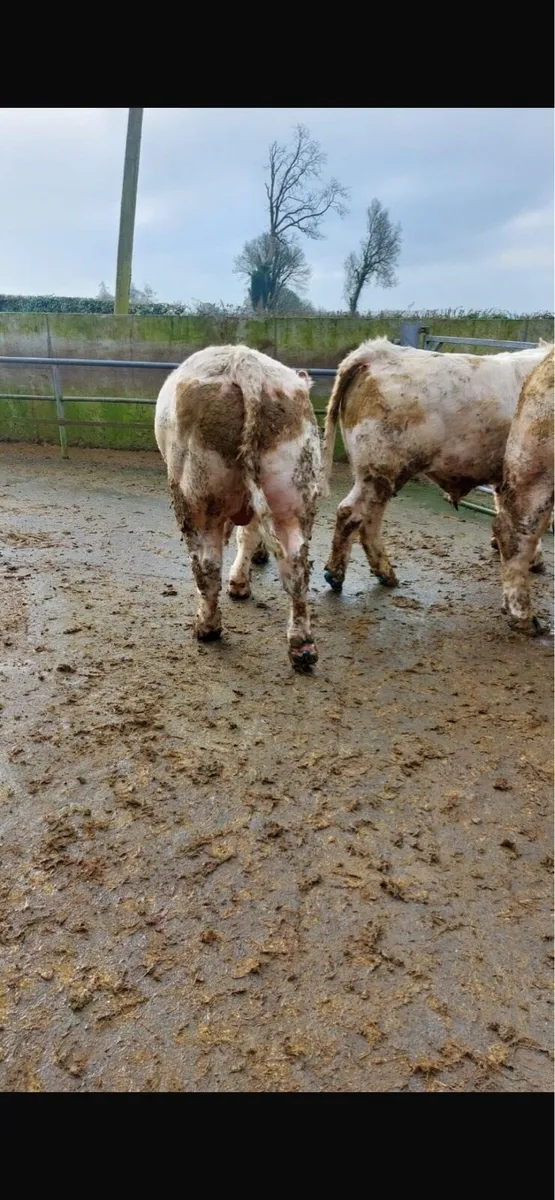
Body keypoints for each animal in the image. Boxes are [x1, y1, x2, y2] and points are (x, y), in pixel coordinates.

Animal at [154, 345, 322, 670]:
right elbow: (249, 537)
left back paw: (206, 627)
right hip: (293, 495)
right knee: (296, 566)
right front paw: (240, 583)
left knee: (206, 564)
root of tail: (245, 364)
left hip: (195, 498)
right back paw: (302, 646)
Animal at [321, 336, 548, 594]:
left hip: (380, 474)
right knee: (351, 512)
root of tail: (376, 351)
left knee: (369, 519)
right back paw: (337, 575)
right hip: (378, 467)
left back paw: (385, 575)